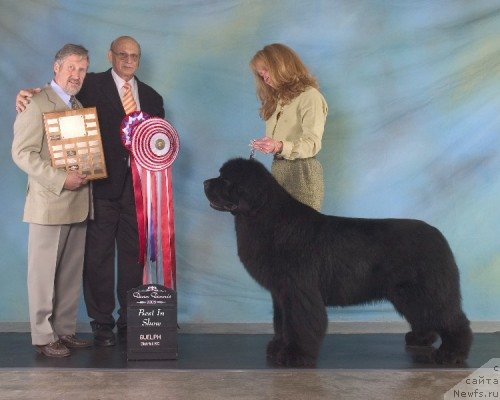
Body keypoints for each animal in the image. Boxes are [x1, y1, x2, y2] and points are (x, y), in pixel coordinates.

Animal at [203, 158, 472, 368]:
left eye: (226, 180)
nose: (205, 183)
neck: (266, 218)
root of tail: (438, 234)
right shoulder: (280, 293)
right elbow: (281, 323)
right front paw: (277, 348)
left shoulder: (298, 290)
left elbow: (299, 323)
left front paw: (294, 355)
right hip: (407, 293)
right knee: (425, 316)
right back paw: (420, 338)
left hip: (428, 290)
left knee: (452, 319)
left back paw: (451, 354)